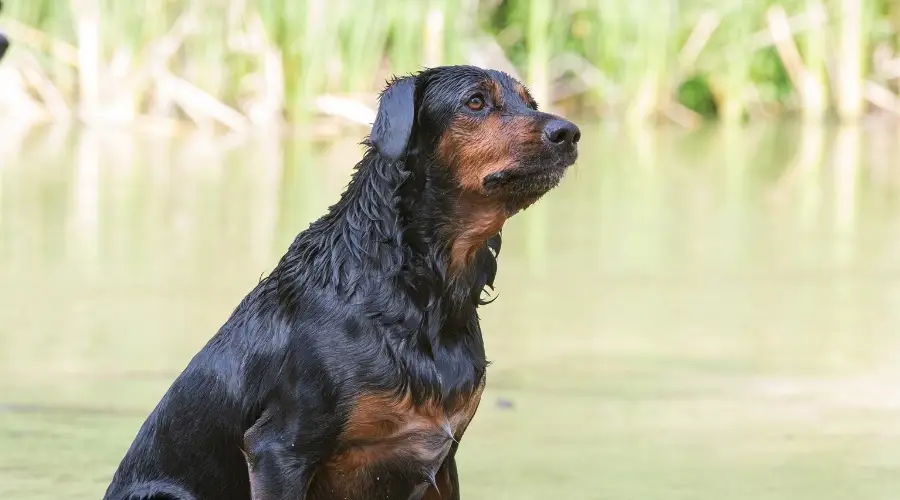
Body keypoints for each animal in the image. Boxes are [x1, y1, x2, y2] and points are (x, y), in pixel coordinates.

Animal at [102, 65, 580, 500]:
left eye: (531, 102)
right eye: (476, 102)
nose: (569, 133)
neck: (420, 292)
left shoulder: (443, 462)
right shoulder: (279, 450)